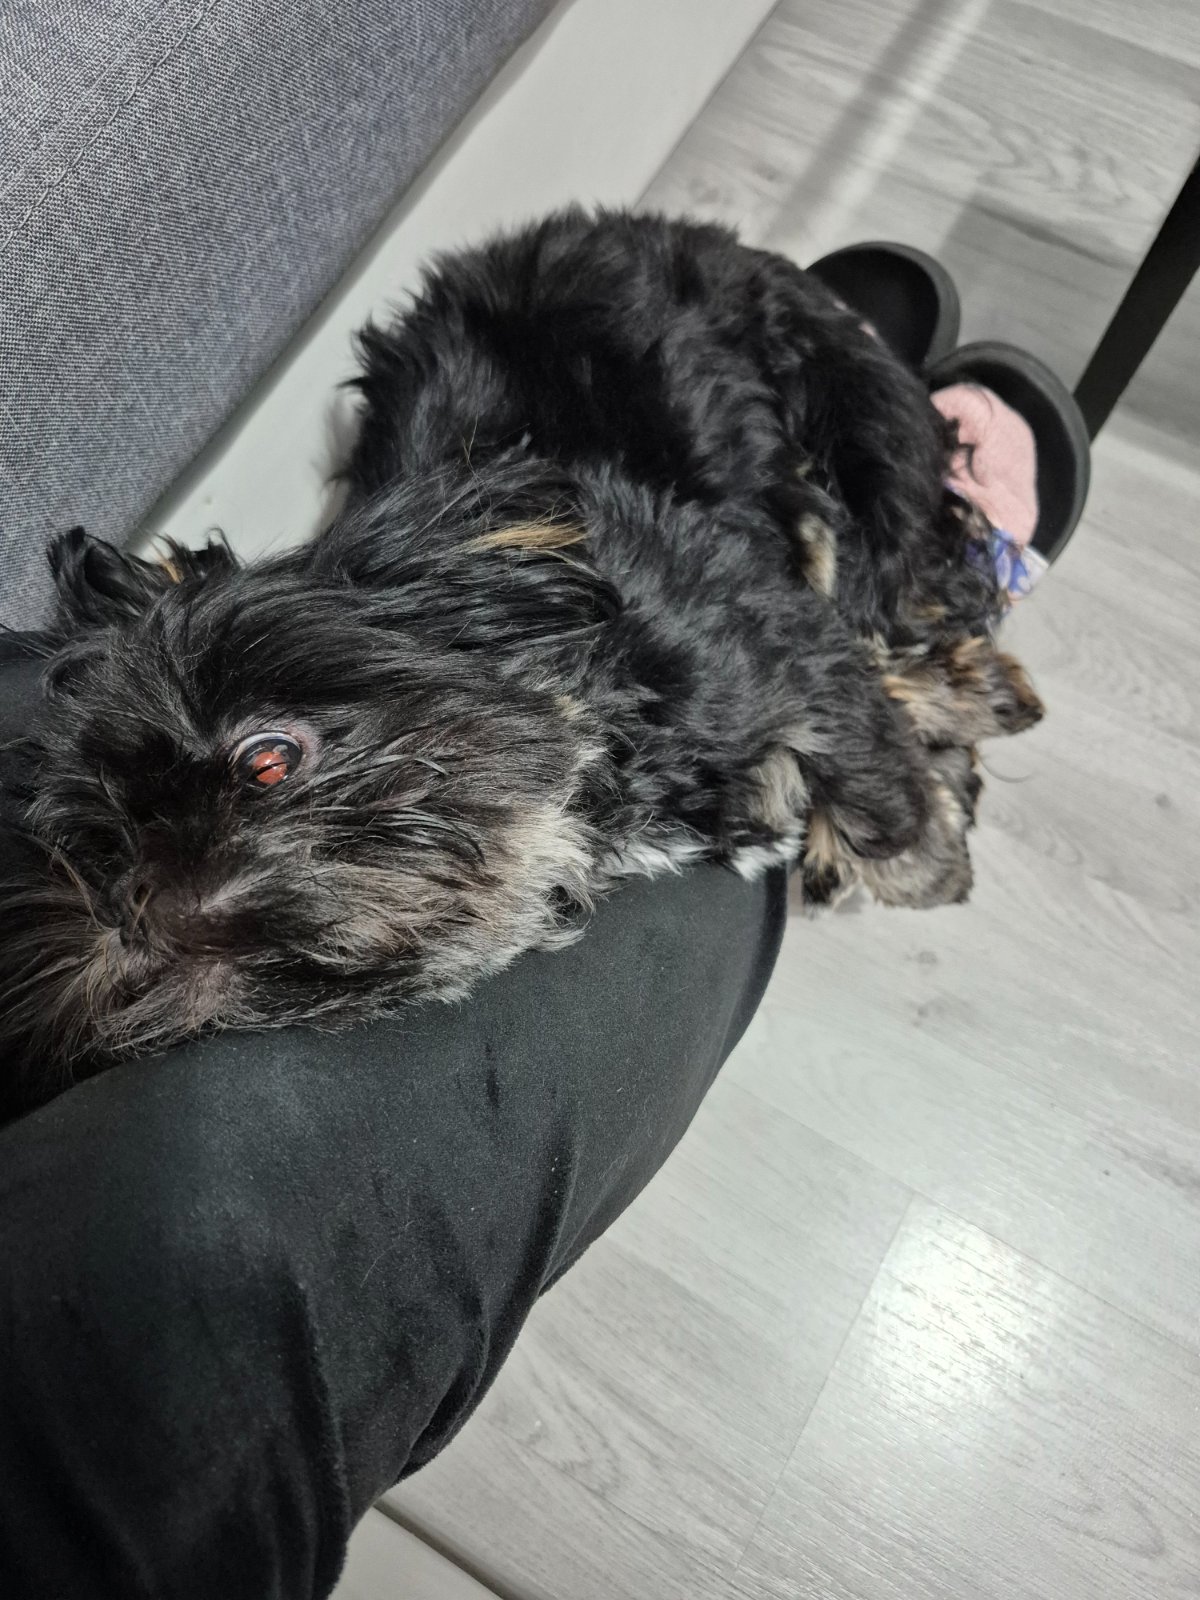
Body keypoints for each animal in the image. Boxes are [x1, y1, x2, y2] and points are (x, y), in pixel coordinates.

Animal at [0, 208, 1042, 1114]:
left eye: (267, 759)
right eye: (103, 868)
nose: (143, 907)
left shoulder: (784, 657)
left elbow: (875, 790)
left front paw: (927, 866)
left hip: (854, 423)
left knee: (901, 581)